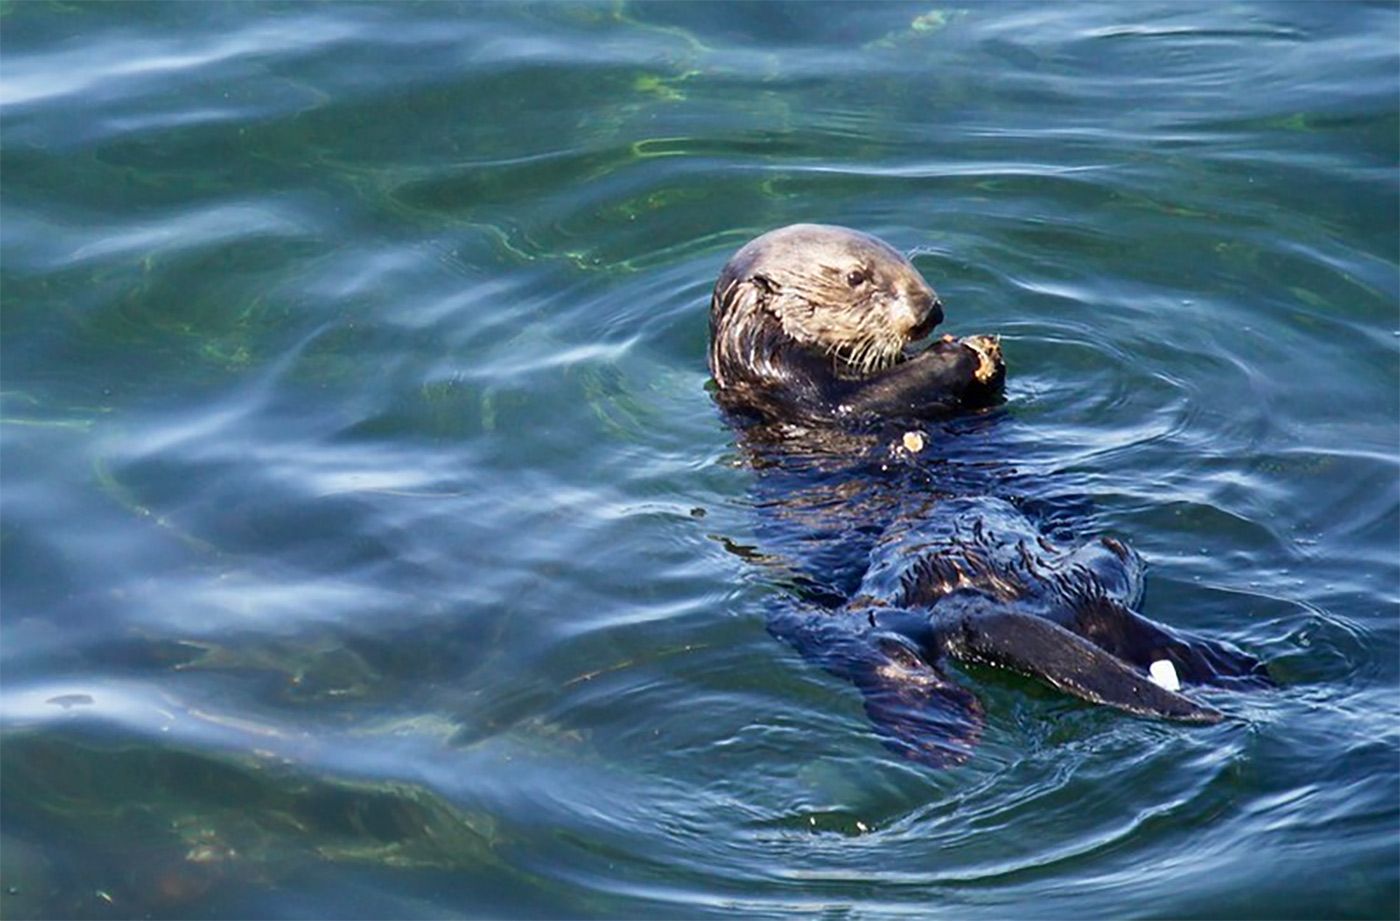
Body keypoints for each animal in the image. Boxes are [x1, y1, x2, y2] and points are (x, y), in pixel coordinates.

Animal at [710, 224, 1269, 767]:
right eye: (856, 277)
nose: (930, 311)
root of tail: (970, 598)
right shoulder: (792, 387)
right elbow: (857, 399)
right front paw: (958, 354)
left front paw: (986, 357)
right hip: (829, 621)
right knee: (886, 658)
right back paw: (937, 729)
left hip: (1100, 563)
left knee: (1113, 616)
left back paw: (1226, 665)